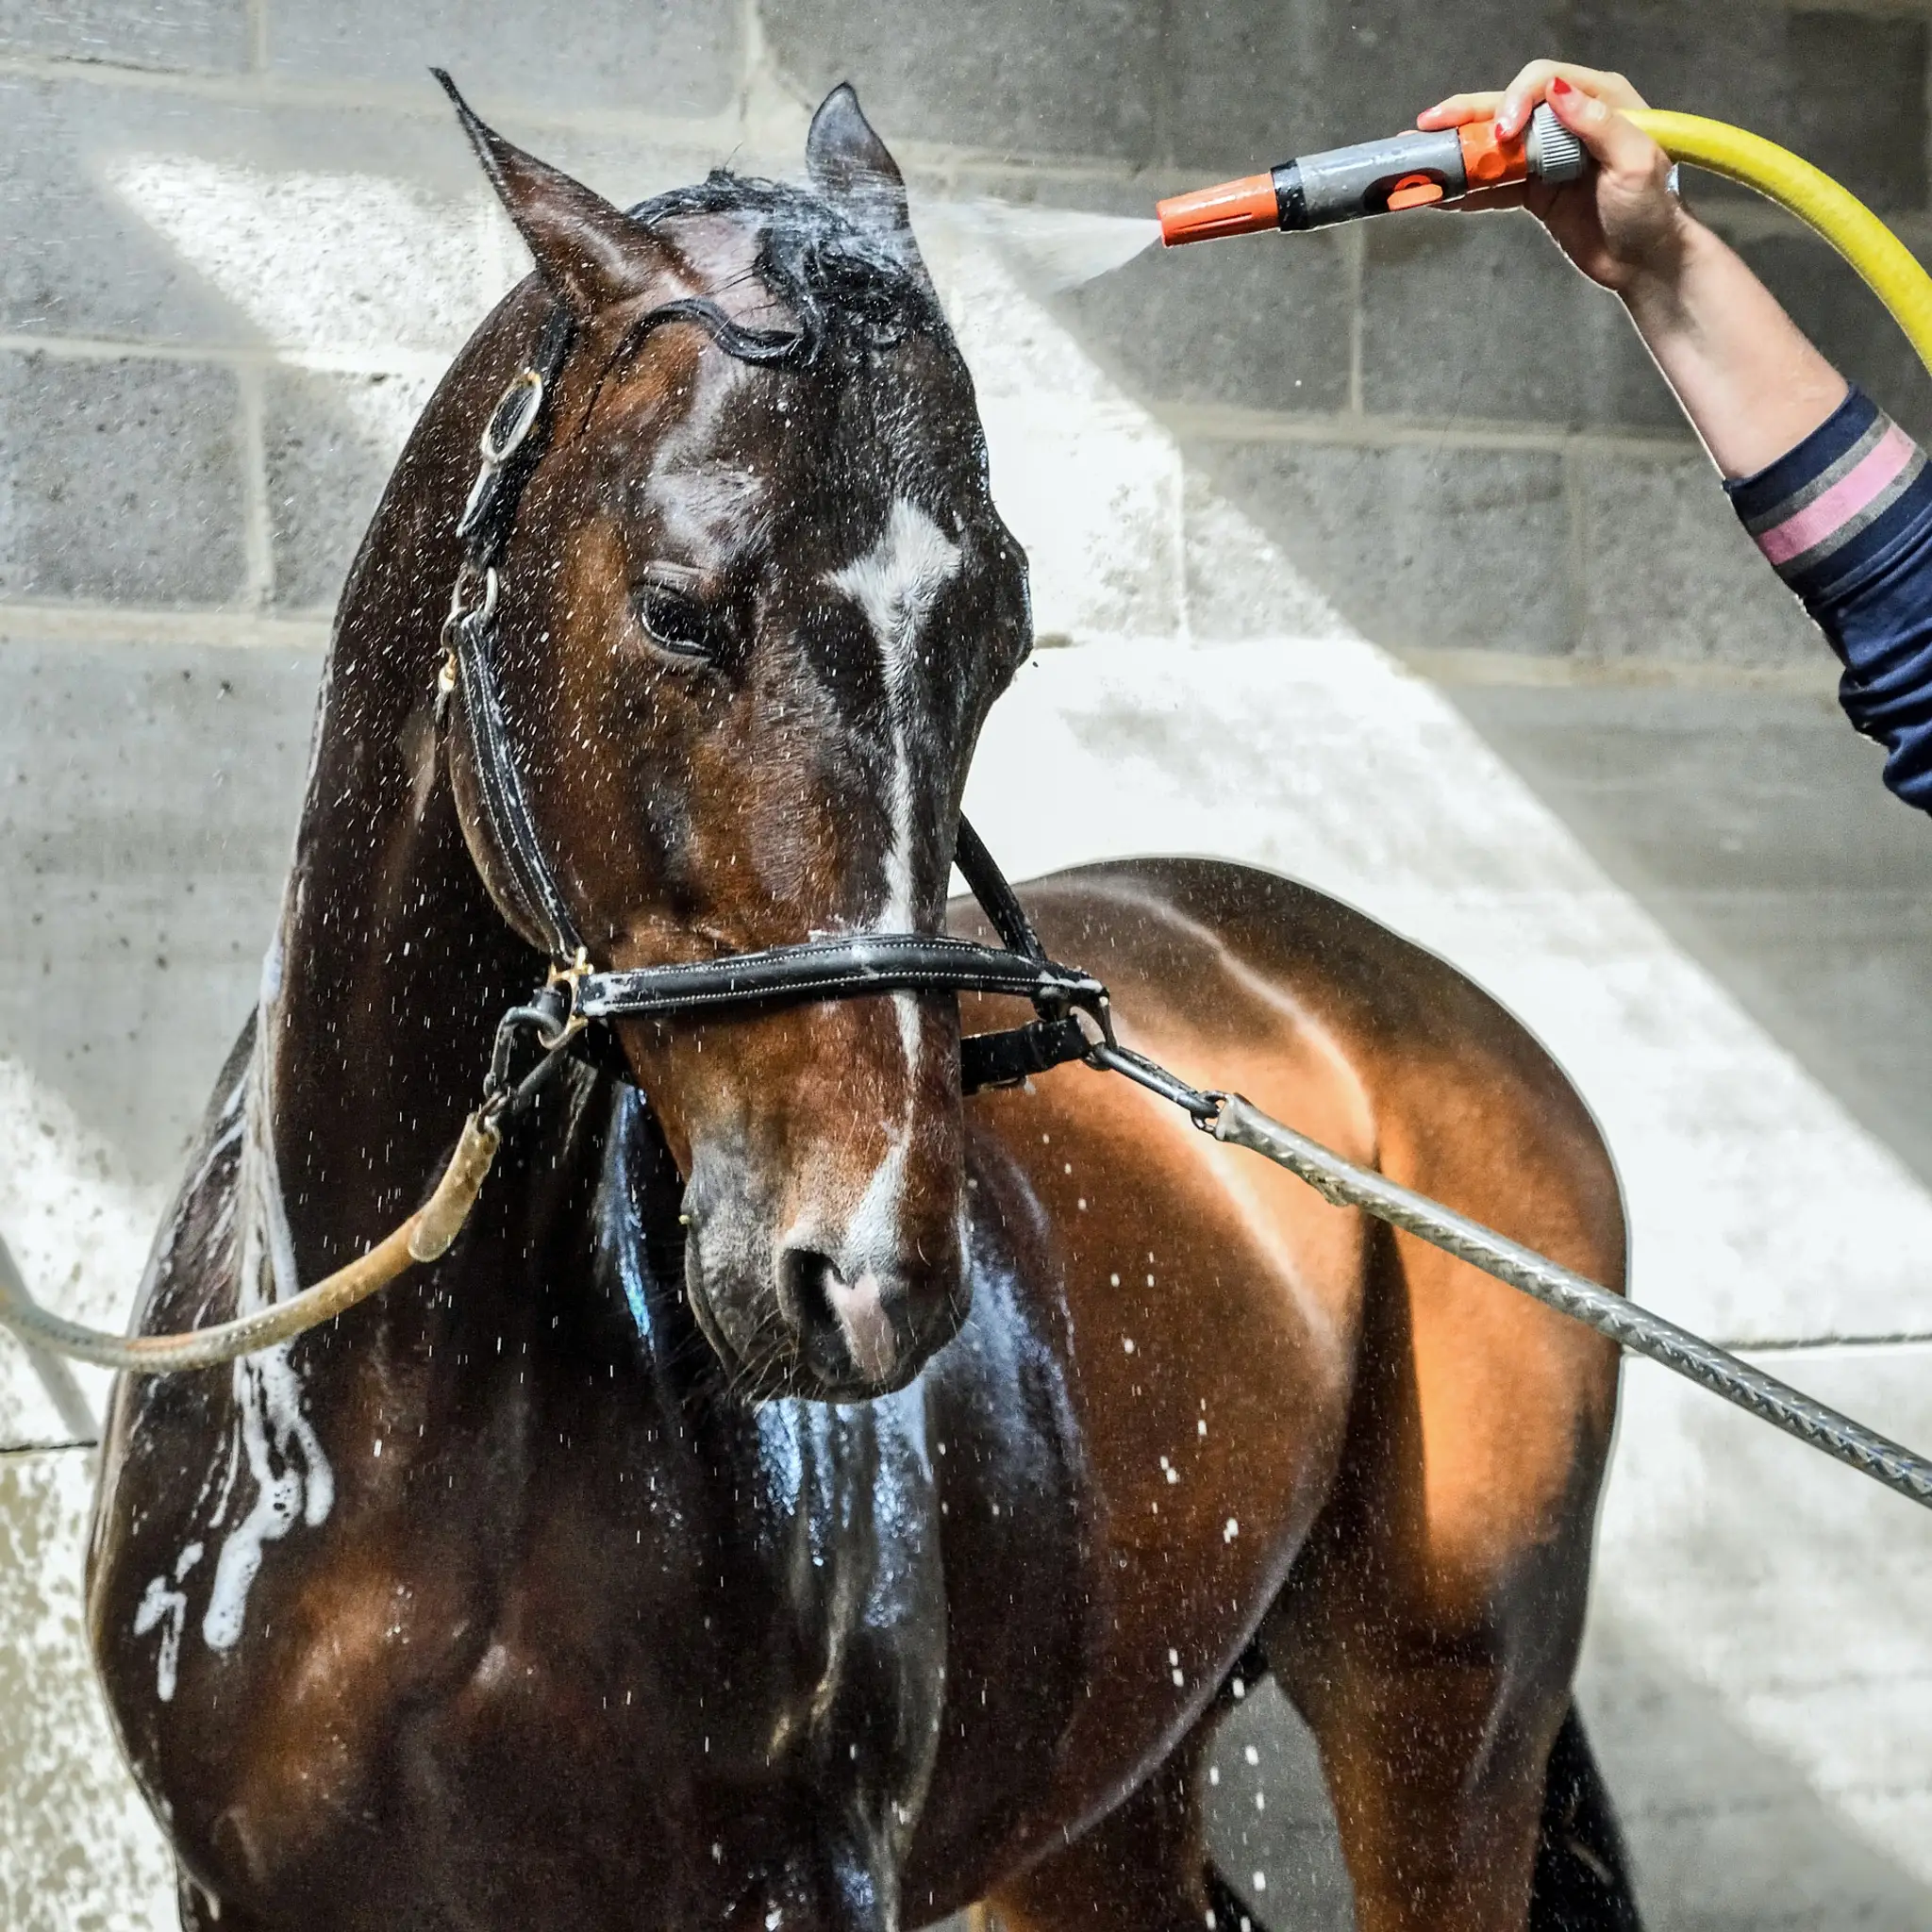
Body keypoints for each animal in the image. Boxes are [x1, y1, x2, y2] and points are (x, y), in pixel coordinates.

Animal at [86, 80, 1638, 1932]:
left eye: (1001, 636)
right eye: (678, 608)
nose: (871, 1276)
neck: (385, 1434)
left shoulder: (799, 1881)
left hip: (1438, 1724)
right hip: (1106, 1800)